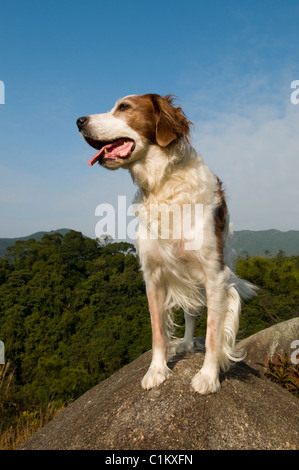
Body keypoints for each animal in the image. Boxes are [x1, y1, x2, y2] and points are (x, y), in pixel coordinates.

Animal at [76, 94, 256, 392]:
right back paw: (185, 344)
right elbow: (158, 331)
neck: (163, 185)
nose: (79, 121)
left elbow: (213, 334)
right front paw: (157, 371)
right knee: (191, 313)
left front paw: (209, 376)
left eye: (124, 107)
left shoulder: (214, 275)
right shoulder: (153, 276)